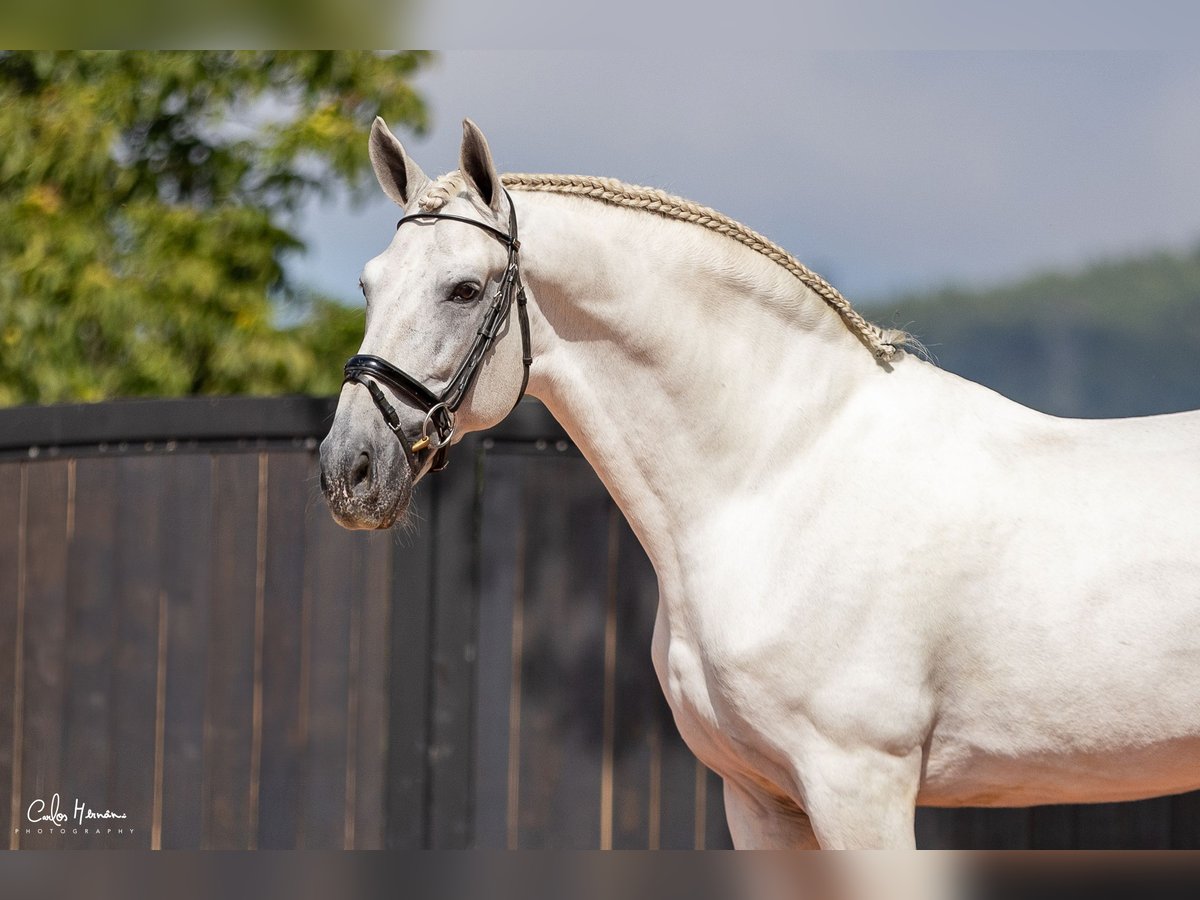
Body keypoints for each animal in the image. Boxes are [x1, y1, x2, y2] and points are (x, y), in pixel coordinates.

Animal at [319, 116, 1200, 849]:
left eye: (464, 288)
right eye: (367, 284)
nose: (348, 470)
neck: (783, 475)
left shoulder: (859, 786)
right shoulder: (760, 800)